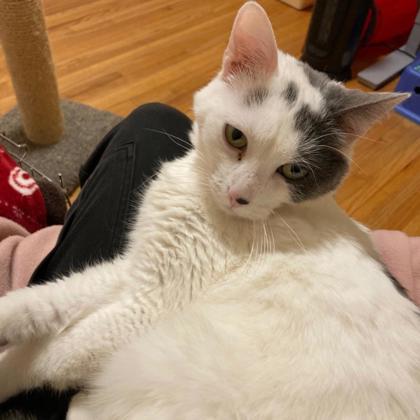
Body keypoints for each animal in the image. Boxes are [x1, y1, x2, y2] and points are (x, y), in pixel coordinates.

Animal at [0, 1, 418, 419]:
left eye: (295, 171)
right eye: (236, 137)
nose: (238, 195)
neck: (199, 200)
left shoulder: (149, 305)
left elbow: (54, 352)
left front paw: (10, 371)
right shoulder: (139, 268)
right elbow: (58, 297)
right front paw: (10, 316)